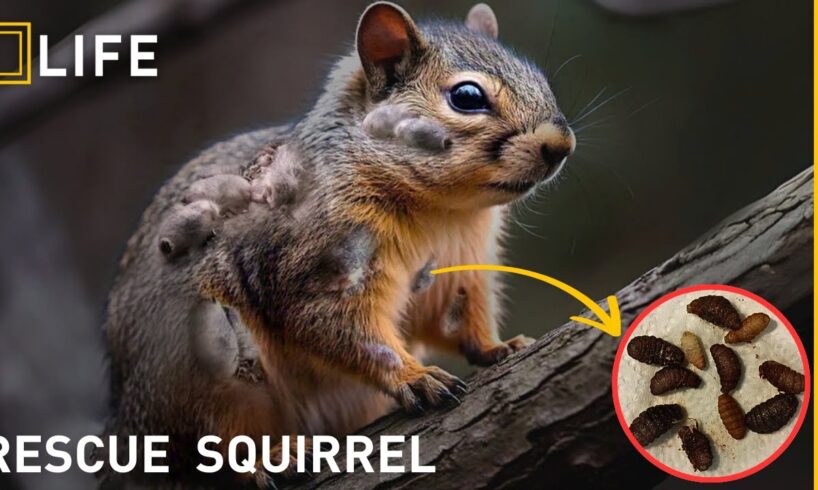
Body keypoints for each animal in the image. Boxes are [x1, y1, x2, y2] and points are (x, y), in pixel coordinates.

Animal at [100, 2, 575, 488]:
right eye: (466, 97)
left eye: (539, 77)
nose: (561, 145)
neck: (444, 211)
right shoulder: (316, 266)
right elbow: (342, 328)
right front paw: (414, 376)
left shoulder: (460, 263)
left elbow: (456, 317)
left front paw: (497, 346)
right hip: (203, 369)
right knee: (215, 445)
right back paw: (273, 457)